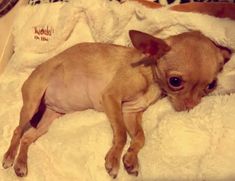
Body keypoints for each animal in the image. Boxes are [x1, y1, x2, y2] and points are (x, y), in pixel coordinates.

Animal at [1, 30, 229, 178]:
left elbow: (140, 137)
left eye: (211, 85)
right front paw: (113, 159)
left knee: (28, 137)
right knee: (17, 131)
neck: (148, 73)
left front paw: (131, 158)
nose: (191, 106)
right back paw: (10, 157)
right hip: (32, 104)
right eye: (175, 81)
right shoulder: (111, 98)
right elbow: (121, 134)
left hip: (49, 119)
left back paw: (21, 164)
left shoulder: (130, 112)